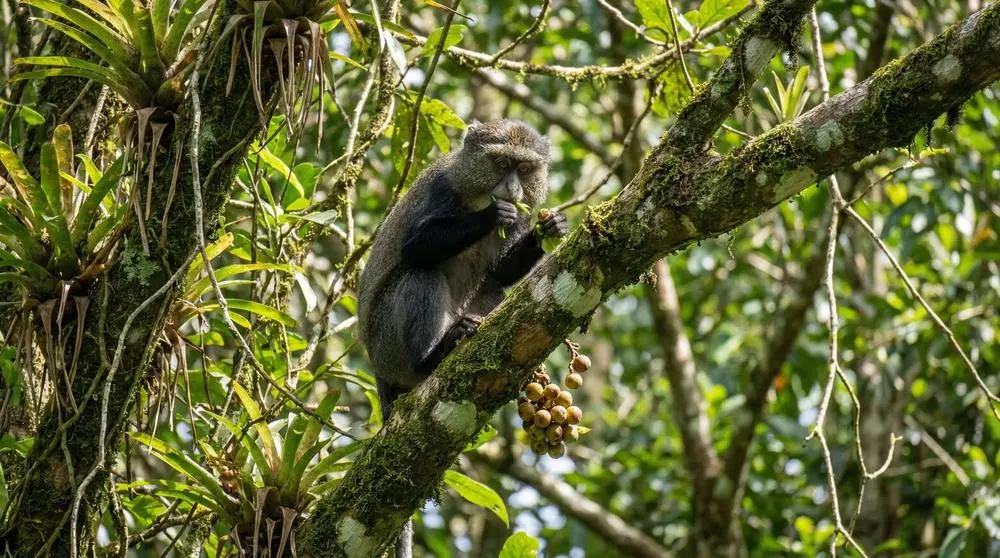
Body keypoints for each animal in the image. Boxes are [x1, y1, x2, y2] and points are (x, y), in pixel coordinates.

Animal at [356, 119, 567, 558]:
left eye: (525, 169)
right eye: (501, 163)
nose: (512, 189)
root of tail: (379, 371)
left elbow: (502, 273)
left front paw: (550, 229)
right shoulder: (441, 190)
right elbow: (414, 248)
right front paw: (492, 214)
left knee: (493, 288)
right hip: (388, 344)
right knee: (420, 274)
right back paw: (433, 355)